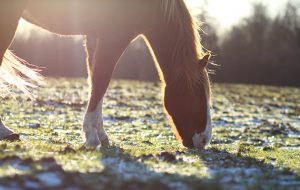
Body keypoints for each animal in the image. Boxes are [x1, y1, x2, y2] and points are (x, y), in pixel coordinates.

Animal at [0, 0, 212, 148]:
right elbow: (101, 82)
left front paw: (100, 135)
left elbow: (95, 83)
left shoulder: (95, 36)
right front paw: (92, 138)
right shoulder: (115, 36)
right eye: (197, 97)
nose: (204, 140)